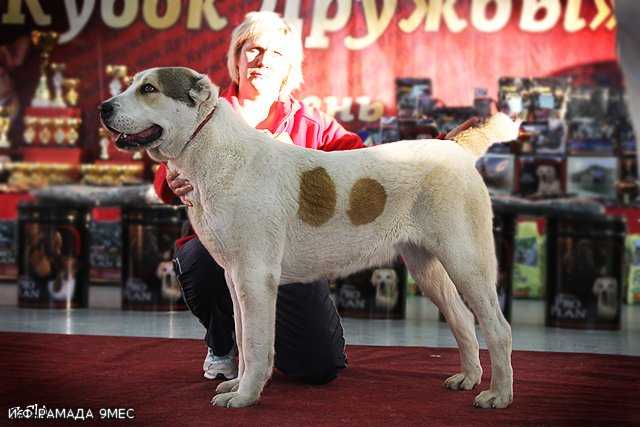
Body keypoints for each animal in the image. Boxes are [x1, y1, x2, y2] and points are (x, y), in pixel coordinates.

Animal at [101, 67, 520, 412]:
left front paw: (245, 396)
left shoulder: (256, 277)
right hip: (426, 265)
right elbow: (242, 336)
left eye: (149, 89)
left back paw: (498, 395)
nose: (104, 108)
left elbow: (256, 344)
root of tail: (454, 147)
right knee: (463, 318)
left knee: (498, 328)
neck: (213, 152)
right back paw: (468, 378)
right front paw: (237, 384)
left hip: (467, 260)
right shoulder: (235, 278)